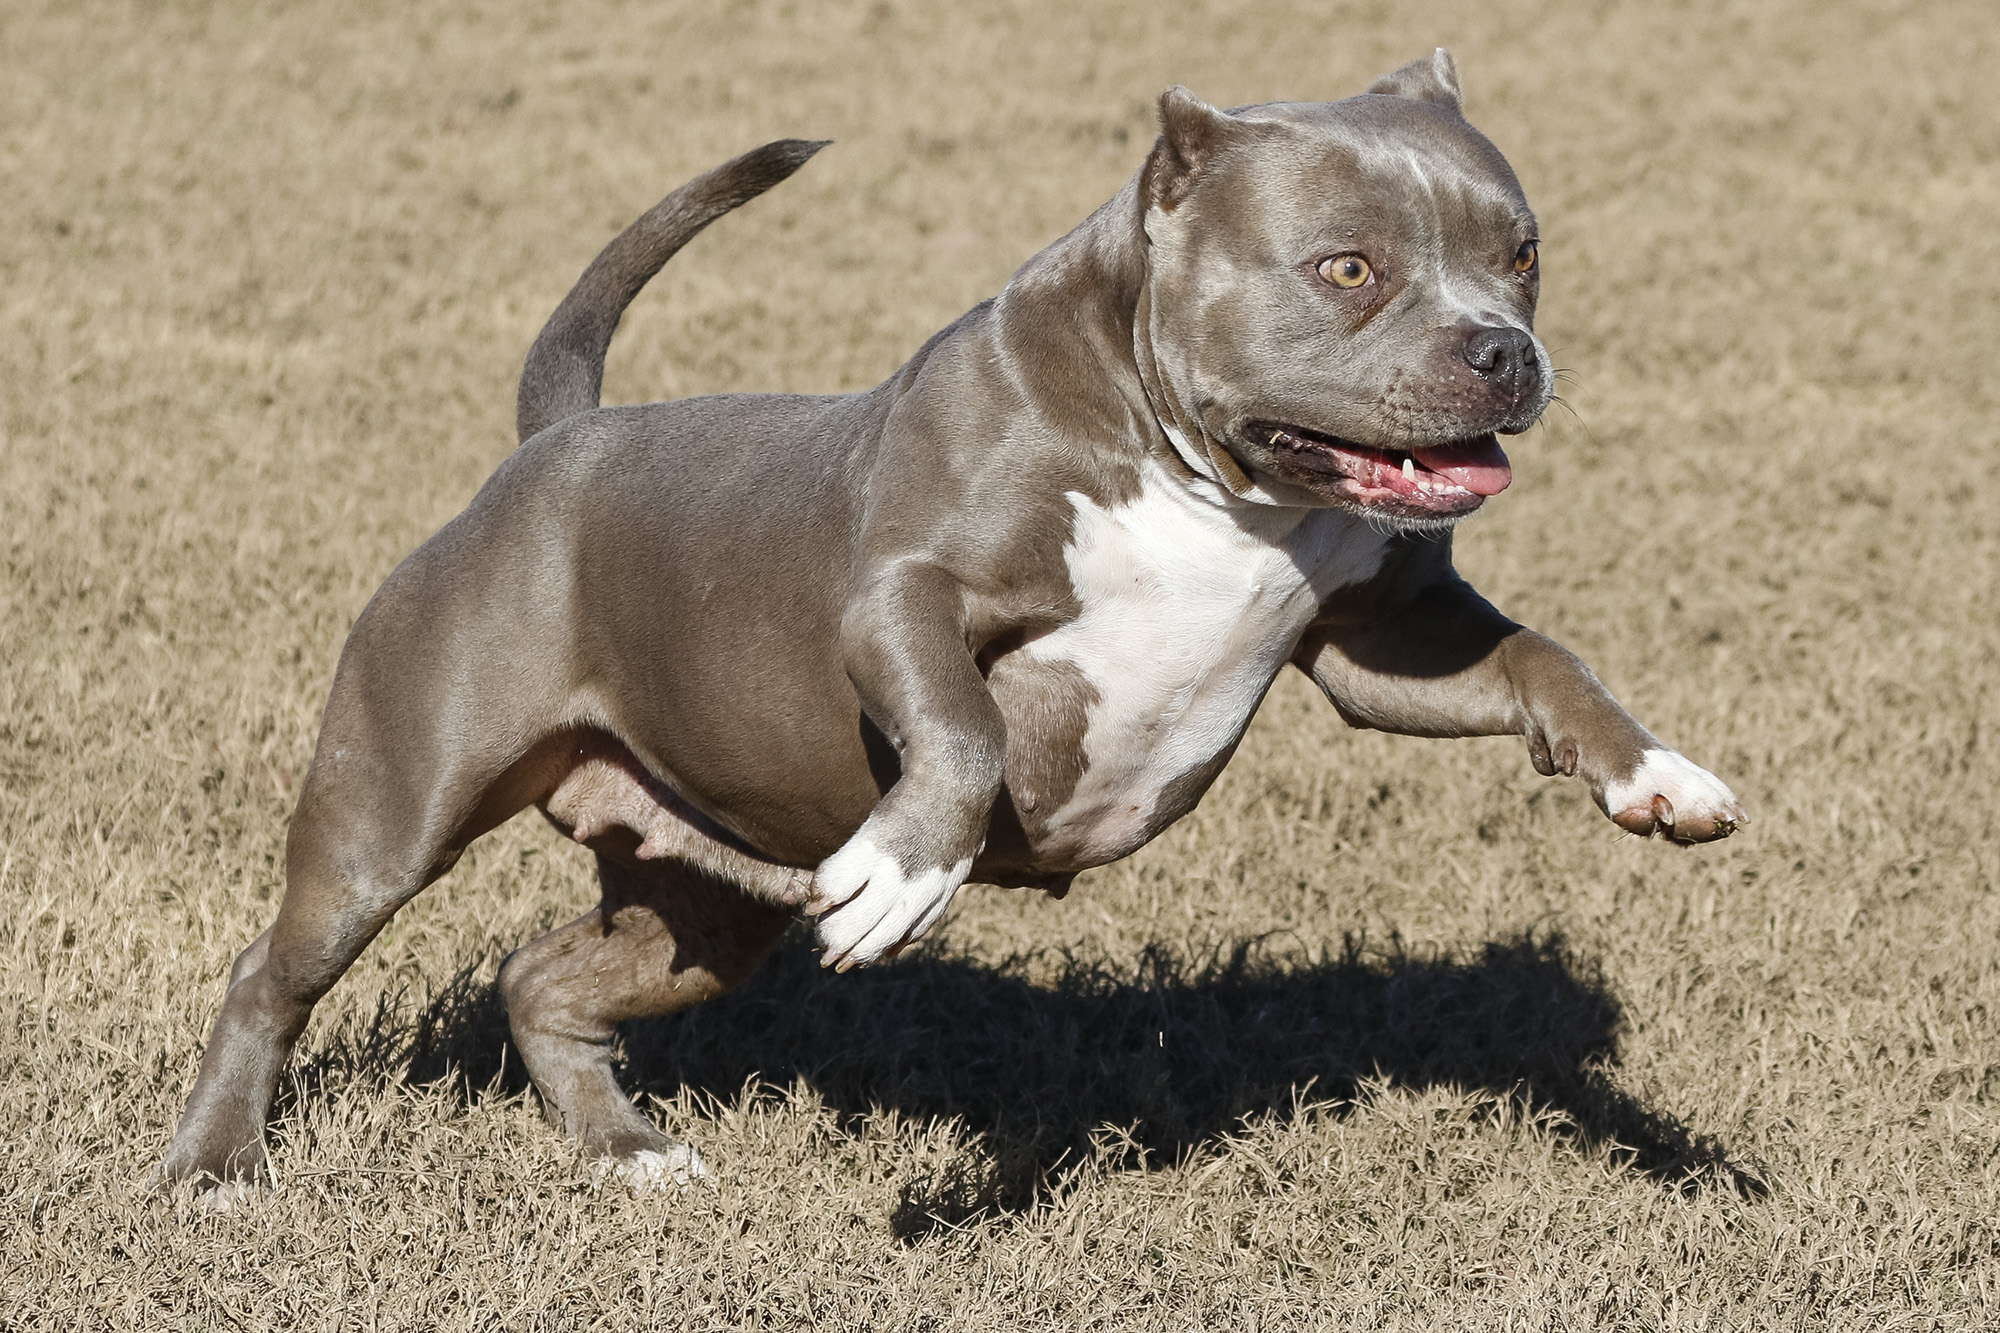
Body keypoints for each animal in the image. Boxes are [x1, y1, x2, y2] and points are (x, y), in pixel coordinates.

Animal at [164, 52, 1744, 1184]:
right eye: (1345, 266)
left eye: (1522, 251)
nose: (1503, 351)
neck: (1212, 481)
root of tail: (554, 442)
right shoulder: (902, 598)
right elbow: (966, 723)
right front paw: (917, 868)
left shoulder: (1380, 641)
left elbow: (1540, 655)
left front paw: (1656, 776)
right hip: (392, 811)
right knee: (272, 968)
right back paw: (220, 1164)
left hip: (709, 900)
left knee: (542, 978)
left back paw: (627, 1152)